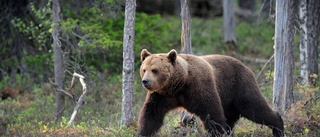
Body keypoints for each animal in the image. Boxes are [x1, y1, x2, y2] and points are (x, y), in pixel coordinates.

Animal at [139, 48, 284, 136]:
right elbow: (151, 115)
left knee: (254, 107)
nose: (145, 81)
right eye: (144, 69)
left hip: (239, 85)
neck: (179, 84)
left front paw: (217, 132)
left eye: (155, 70)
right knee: (231, 118)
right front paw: (143, 132)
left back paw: (278, 127)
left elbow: (212, 114)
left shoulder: (199, 88)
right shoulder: (161, 96)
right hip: (228, 99)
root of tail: (246, 66)